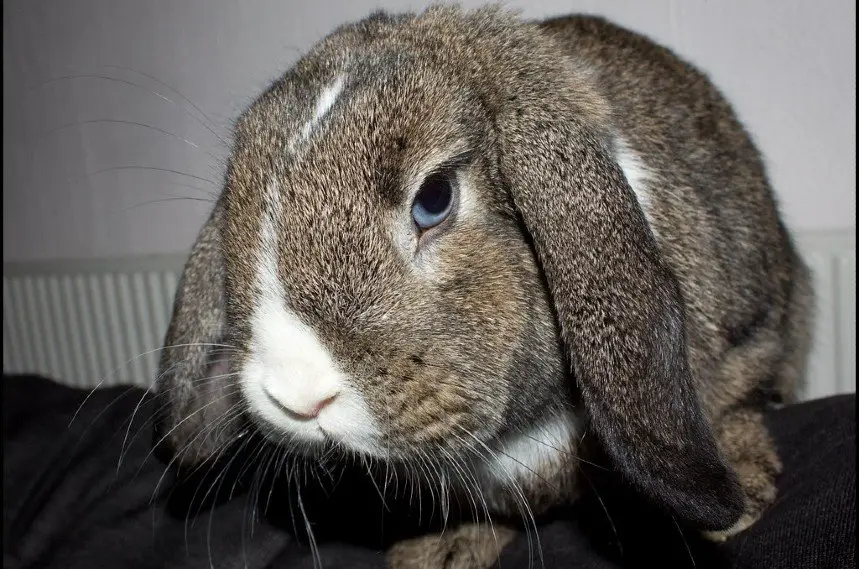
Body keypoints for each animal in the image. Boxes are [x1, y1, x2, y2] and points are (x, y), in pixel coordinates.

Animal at [151, 5, 816, 568]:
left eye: (434, 198)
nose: (295, 396)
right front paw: (439, 550)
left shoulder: (755, 334)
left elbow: (735, 403)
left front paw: (740, 500)